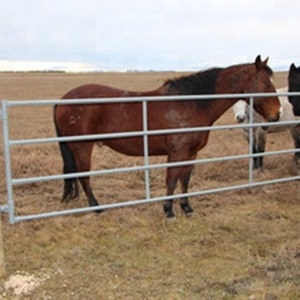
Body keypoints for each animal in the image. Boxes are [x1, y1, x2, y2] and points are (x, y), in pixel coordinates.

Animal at [54, 54, 282, 218]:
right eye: (266, 84)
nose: (277, 114)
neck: (192, 103)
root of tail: (63, 99)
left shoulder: (191, 153)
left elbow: (185, 178)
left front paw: (186, 207)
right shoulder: (177, 152)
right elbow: (172, 179)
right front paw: (169, 210)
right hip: (82, 147)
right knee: (84, 176)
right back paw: (96, 207)